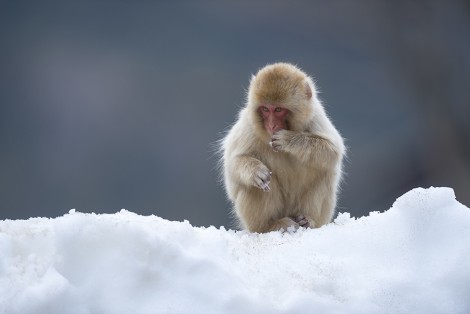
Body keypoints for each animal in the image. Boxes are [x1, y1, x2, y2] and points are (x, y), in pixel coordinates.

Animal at [220, 62, 346, 233]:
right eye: (265, 109)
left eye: (278, 109)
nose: (271, 125)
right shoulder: (249, 126)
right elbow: (232, 164)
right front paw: (256, 171)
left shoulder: (315, 117)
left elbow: (333, 151)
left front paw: (288, 140)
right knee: (260, 182)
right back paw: (269, 225)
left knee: (325, 171)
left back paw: (307, 221)